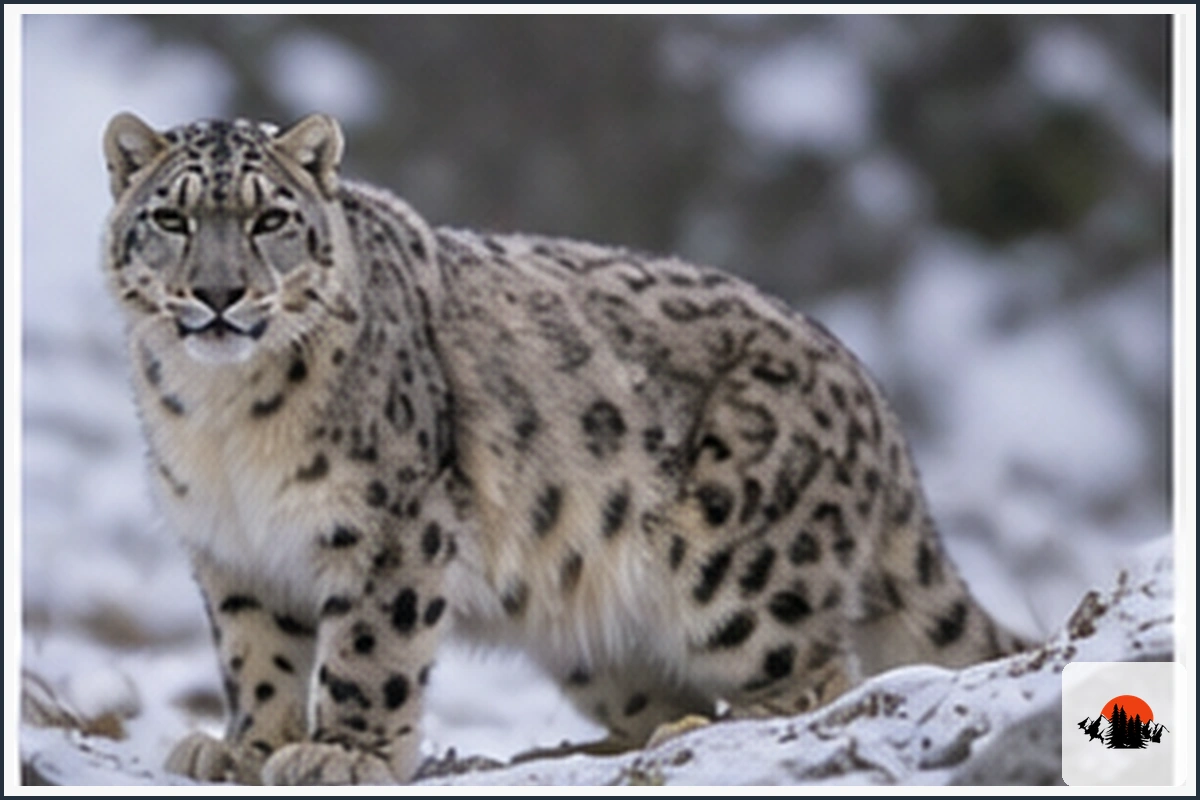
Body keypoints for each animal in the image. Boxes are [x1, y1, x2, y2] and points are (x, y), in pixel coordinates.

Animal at [101, 111, 1024, 785]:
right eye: (171, 216)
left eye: (271, 219)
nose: (219, 294)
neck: (223, 427)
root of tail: (870, 394)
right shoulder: (232, 551)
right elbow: (255, 655)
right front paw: (244, 748)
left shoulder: (393, 524)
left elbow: (370, 646)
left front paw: (343, 754)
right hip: (600, 644)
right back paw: (594, 748)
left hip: (741, 570)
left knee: (819, 670)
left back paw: (727, 726)